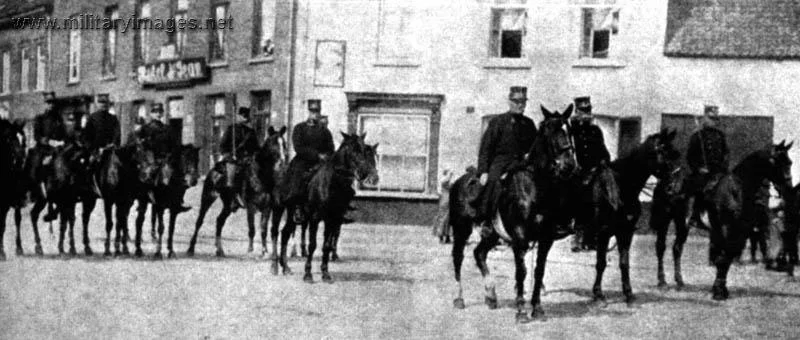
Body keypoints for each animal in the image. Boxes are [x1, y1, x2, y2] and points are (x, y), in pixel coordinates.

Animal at [188, 126, 288, 256]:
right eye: (273, 143)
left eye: (284, 143)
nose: (282, 162)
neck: (260, 176)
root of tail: (214, 170)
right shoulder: (251, 207)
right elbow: (252, 228)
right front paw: (250, 250)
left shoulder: (267, 208)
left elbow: (263, 230)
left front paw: (264, 251)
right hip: (208, 197)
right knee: (199, 221)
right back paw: (191, 248)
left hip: (229, 205)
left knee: (219, 221)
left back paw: (220, 250)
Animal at [274, 131, 380, 282]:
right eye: (353, 151)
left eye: (366, 151)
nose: (370, 177)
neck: (332, 184)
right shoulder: (315, 218)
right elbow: (313, 245)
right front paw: (308, 274)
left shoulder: (333, 219)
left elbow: (327, 245)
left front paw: (325, 273)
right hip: (290, 212)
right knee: (285, 233)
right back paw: (285, 266)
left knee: (285, 233)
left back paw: (286, 267)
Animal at [446, 105, 580, 322]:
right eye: (550, 131)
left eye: (569, 130)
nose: (568, 165)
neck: (535, 186)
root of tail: (459, 181)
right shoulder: (520, 237)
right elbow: (522, 272)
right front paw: (521, 310)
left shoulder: (545, 239)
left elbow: (539, 271)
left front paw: (537, 308)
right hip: (461, 228)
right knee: (458, 257)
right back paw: (459, 298)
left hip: (492, 234)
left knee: (479, 253)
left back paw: (491, 295)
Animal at [708, 141, 792, 300]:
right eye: (777, 161)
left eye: (790, 162)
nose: (788, 188)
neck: (738, 189)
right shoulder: (728, 229)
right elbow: (724, 258)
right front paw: (719, 291)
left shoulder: (743, 231)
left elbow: (728, 257)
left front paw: (721, 288)